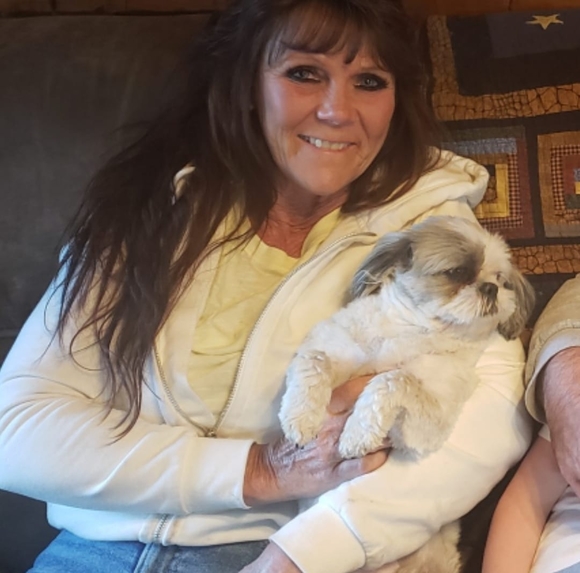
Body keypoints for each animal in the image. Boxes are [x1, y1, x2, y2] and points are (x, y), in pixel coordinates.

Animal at [279, 215, 535, 572]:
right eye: (457, 272)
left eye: (501, 280)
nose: (491, 288)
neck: (415, 330)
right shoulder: (333, 344)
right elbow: (314, 360)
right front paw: (300, 418)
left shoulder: (425, 425)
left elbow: (395, 379)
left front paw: (357, 433)